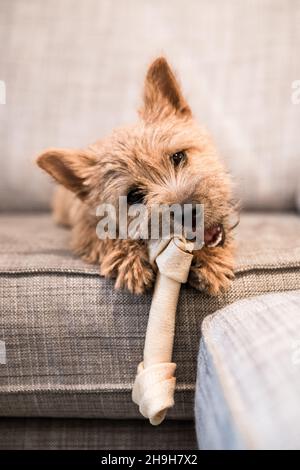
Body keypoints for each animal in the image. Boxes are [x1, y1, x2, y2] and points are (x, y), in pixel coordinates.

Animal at [37, 57, 234, 294]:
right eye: (134, 196)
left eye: (178, 156)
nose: (188, 211)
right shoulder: (83, 233)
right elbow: (105, 236)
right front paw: (129, 259)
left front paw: (211, 261)